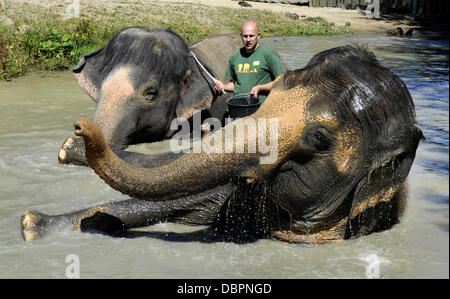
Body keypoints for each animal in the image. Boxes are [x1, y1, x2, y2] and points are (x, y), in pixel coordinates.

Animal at [22, 45, 422, 246]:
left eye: (319, 139)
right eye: (275, 91)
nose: (81, 123)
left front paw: (32, 224)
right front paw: (41, 222)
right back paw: (68, 150)